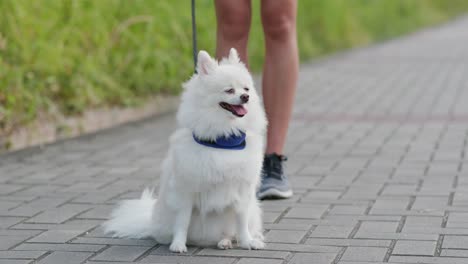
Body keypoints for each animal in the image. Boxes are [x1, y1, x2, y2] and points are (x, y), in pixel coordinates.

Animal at [104, 48, 268, 253]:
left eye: (246, 89)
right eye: (229, 90)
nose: (246, 97)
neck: (224, 139)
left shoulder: (243, 191)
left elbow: (241, 221)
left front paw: (247, 242)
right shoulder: (185, 191)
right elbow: (182, 220)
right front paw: (178, 244)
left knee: (233, 231)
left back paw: (228, 241)